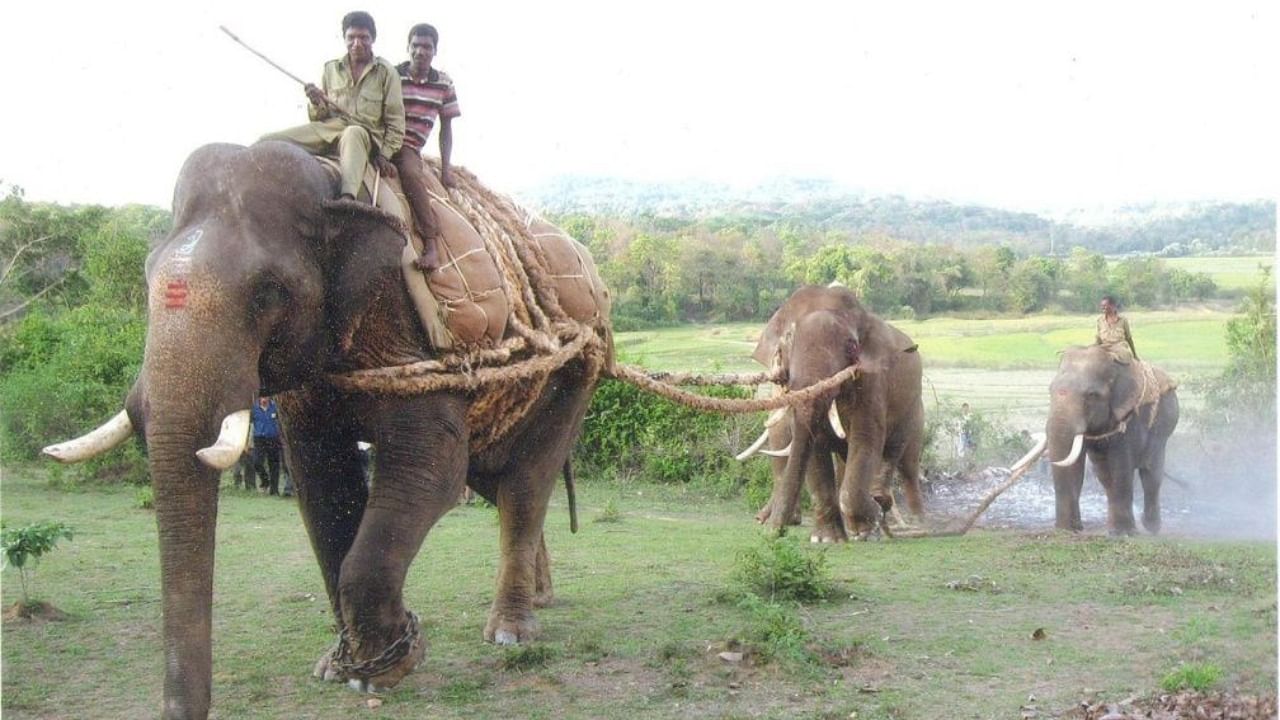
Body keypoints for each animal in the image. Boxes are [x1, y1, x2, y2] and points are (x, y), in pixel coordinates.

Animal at [42, 141, 611, 717]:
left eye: (267, 293)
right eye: (146, 276)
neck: (334, 181)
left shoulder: (414, 337)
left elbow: (430, 471)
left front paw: (390, 667)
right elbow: (321, 484)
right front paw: (343, 667)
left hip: (575, 372)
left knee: (524, 486)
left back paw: (512, 632)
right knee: (496, 481)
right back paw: (541, 596)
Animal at [747, 284, 926, 538]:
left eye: (852, 346)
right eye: (789, 341)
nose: (773, 532)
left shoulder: (872, 382)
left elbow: (865, 437)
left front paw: (867, 526)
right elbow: (815, 445)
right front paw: (827, 539)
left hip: (913, 408)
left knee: (899, 457)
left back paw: (898, 513)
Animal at [1039, 340, 1177, 532]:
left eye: (1091, 395)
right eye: (1050, 390)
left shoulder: (1129, 417)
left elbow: (1121, 465)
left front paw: (1125, 533)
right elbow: (1076, 466)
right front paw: (1068, 530)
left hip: (1164, 428)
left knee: (1151, 475)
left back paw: (1150, 528)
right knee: (1105, 475)